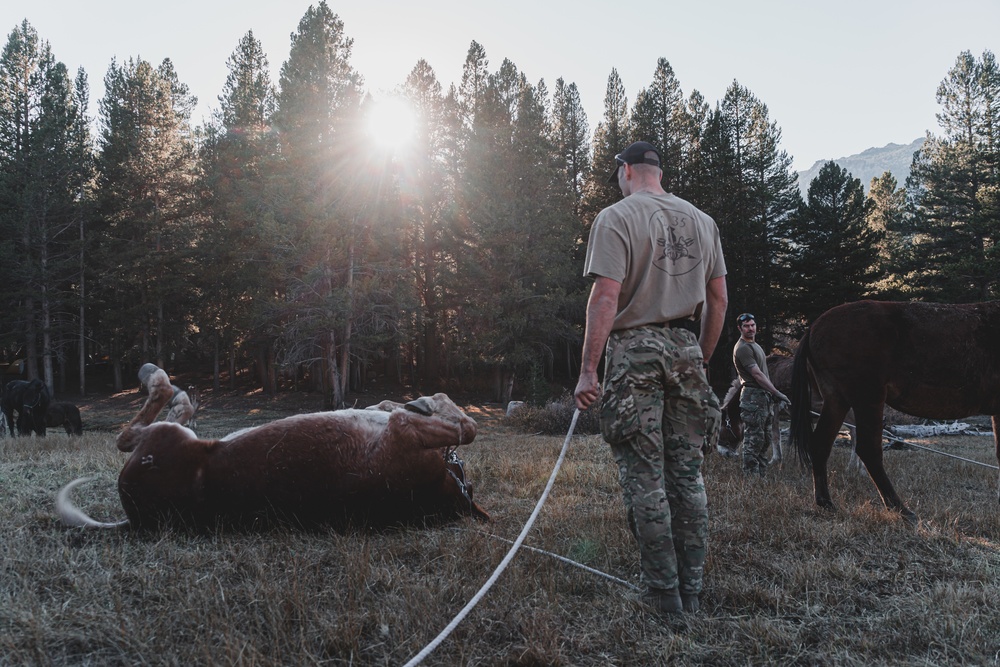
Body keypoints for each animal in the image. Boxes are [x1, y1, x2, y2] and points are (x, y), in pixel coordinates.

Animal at [57, 362, 488, 528]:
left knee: (135, 428)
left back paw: (162, 382)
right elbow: (397, 406)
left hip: (171, 439)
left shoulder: (403, 430)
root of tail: (135, 516)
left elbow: (467, 425)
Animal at [788, 300, 1000, 520]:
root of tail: (812, 329)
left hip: (836, 398)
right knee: (868, 450)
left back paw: (826, 502)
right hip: (868, 396)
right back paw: (900, 508)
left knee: (820, 444)